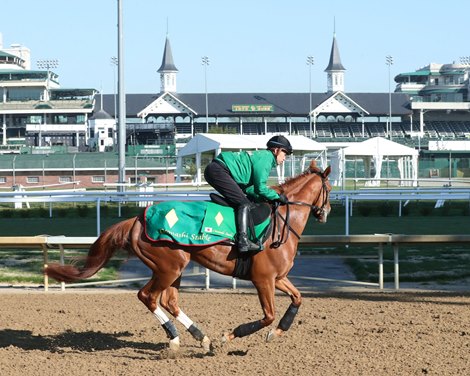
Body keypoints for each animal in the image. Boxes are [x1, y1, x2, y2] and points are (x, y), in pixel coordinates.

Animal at [44, 161, 330, 352]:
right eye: (328, 187)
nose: (325, 212)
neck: (281, 222)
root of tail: (137, 219)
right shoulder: (263, 279)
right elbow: (268, 315)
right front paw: (230, 336)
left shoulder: (278, 278)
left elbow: (298, 298)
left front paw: (277, 332)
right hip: (168, 267)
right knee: (148, 296)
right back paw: (175, 337)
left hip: (173, 269)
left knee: (168, 301)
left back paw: (201, 336)